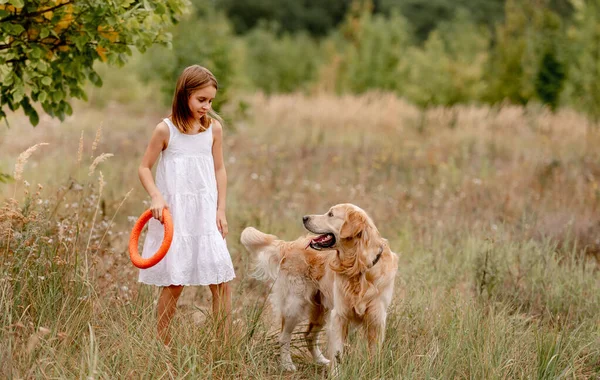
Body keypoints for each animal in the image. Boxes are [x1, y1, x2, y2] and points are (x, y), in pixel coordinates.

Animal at [239, 203, 398, 372]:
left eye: (331, 214)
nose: (304, 218)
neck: (357, 267)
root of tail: (290, 245)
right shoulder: (339, 315)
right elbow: (337, 352)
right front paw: (337, 373)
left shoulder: (376, 318)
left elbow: (374, 353)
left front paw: (374, 371)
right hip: (294, 306)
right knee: (284, 337)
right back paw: (288, 364)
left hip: (321, 310)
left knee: (308, 336)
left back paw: (321, 360)